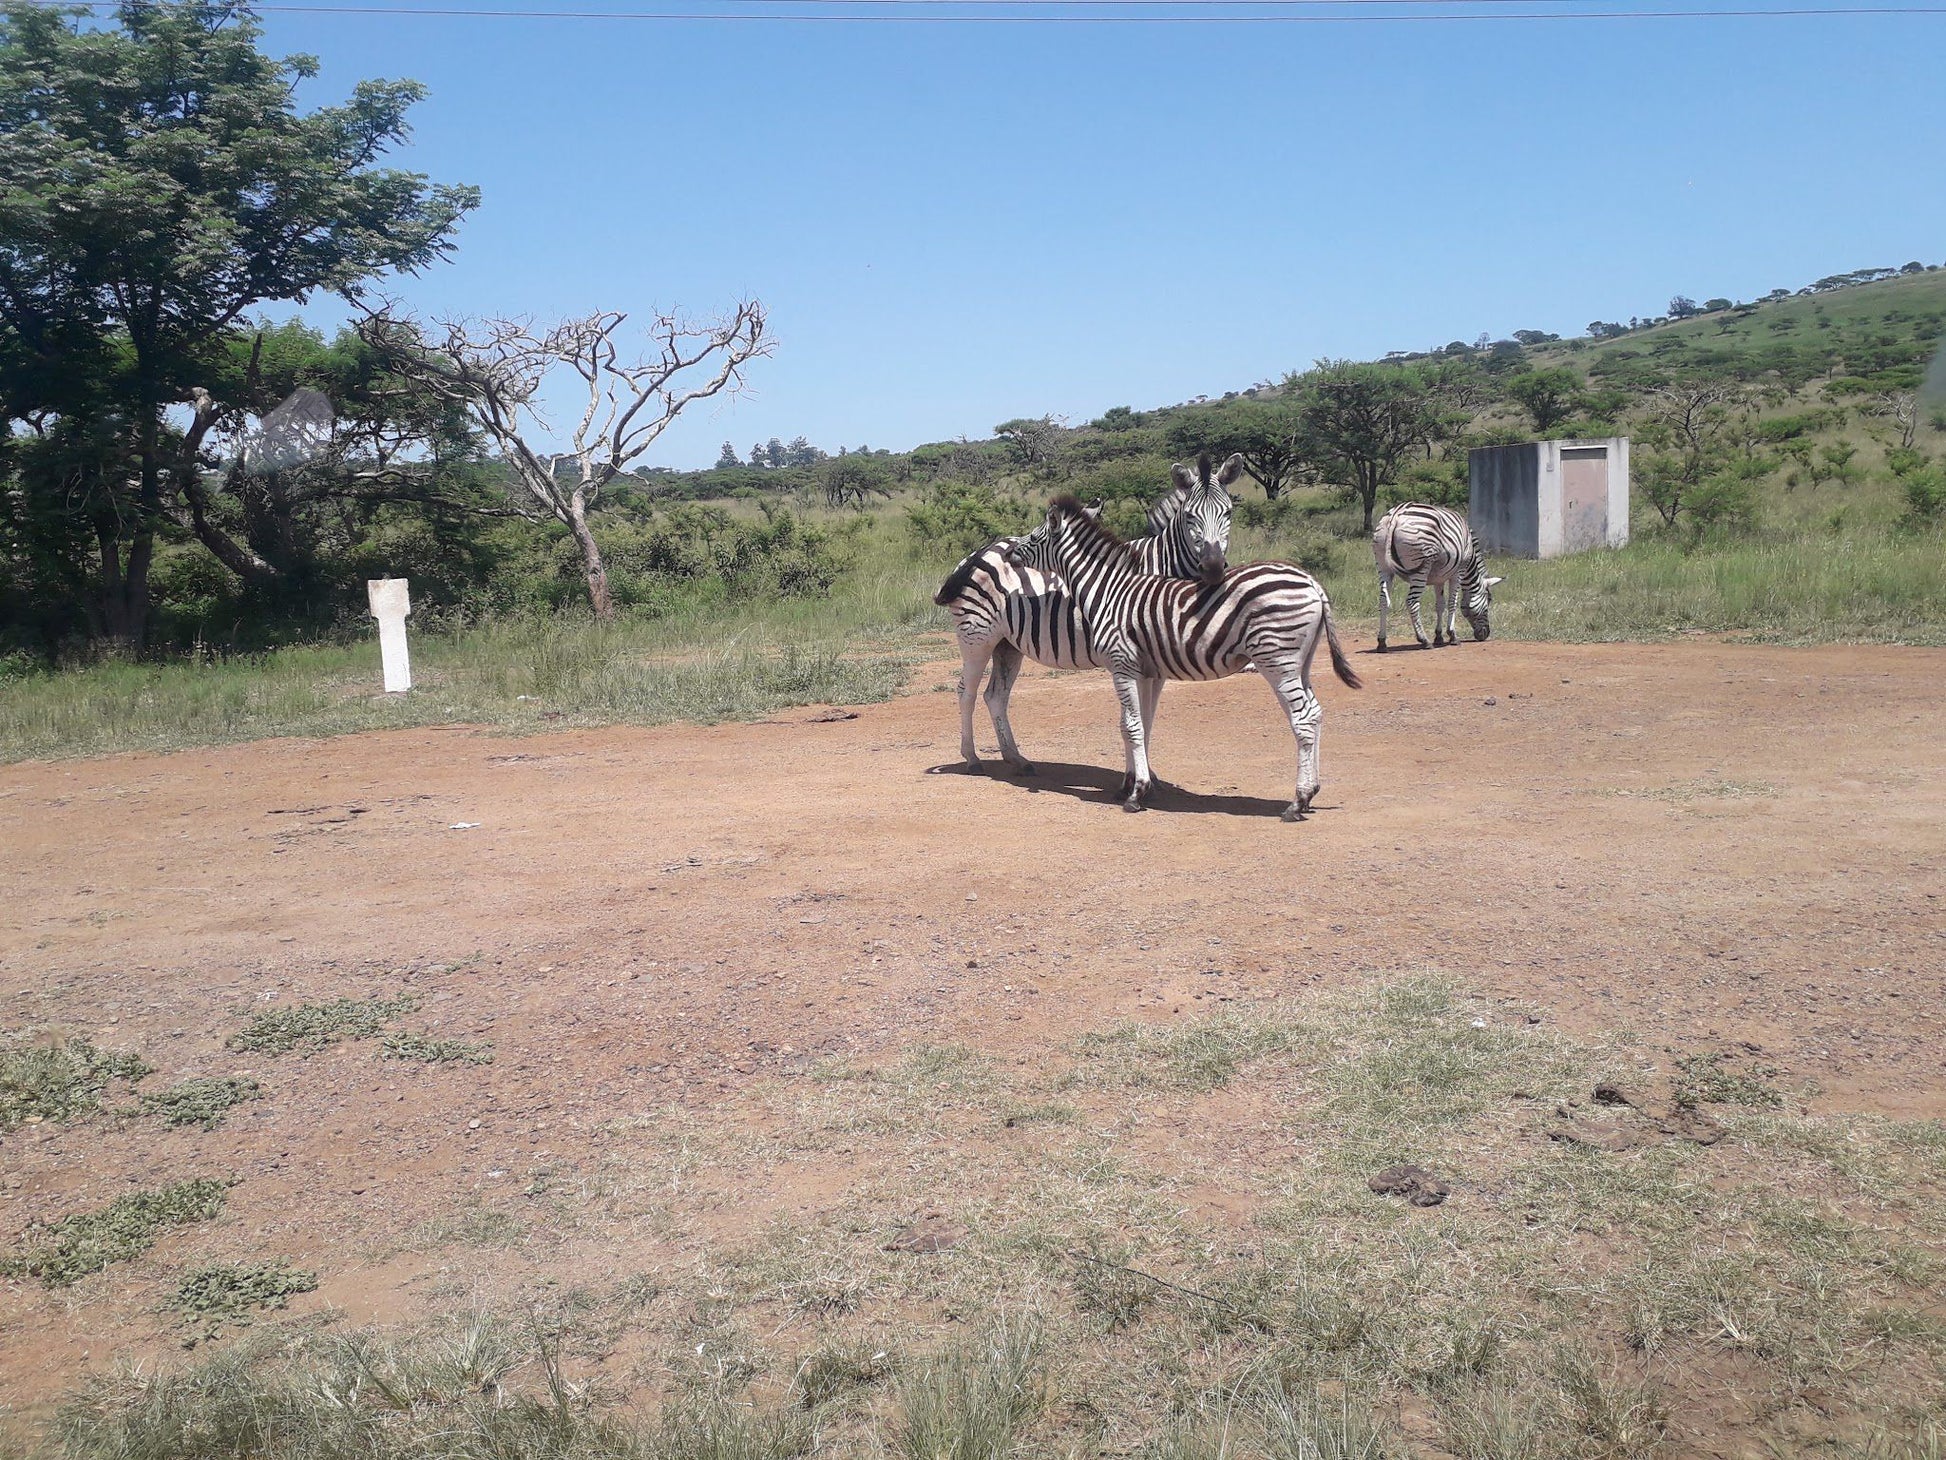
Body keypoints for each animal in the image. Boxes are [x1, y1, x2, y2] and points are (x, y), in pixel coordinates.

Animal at [930, 455, 1237, 778]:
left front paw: (1145, 772)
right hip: (976, 637)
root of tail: (974, 555)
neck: (1160, 568)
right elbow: (1138, 716)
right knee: (966, 692)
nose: (1213, 568)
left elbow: (1148, 715)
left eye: (1229, 512)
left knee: (995, 696)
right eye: (1190, 516)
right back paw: (971, 758)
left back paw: (1016, 758)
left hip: (1007, 644)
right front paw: (1136, 774)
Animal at [996, 498, 1362, 825]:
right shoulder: (1145, 671)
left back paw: (1297, 803)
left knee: (1302, 719)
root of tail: (1311, 581)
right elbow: (1138, 725)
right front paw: (1135, 784)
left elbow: (1132, 726)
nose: (1008, 553)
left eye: (1035, 536)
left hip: (1277, 659)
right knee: (1315, 713)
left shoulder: (1122, 664)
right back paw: (1312, 792)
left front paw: (1136, 794)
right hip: (1301, 662)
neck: (1109, 592)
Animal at [1369, 502, 1502, 650]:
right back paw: (1424, 640)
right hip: (1421, 568)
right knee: (1412, 602)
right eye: (1489, 600)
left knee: (1383, 600)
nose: (1485, 634)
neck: (1471, 557)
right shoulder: (1458, 571)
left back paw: (1382, 642)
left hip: (1383, 566)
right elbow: (1452, 602)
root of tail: (1396, 513)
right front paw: (1452, 635)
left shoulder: (1439, 577)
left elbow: (1440, 605)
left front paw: (1439, 636)